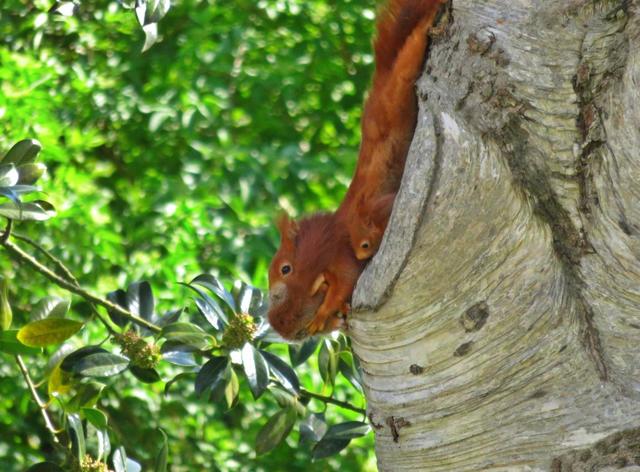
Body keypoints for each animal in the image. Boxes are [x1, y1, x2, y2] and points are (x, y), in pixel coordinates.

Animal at [266, 0, 444, 340]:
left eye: (285, 268)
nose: (282, 326)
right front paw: (333, 317)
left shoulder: (339, 251)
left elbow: (347, 279)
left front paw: (325, 310)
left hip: (396, 91)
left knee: (409, 55)